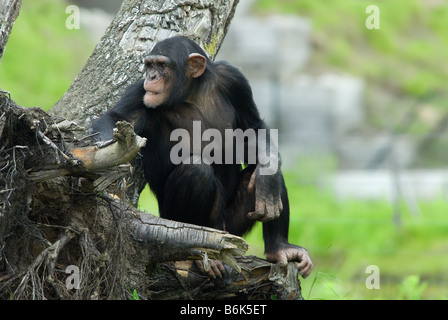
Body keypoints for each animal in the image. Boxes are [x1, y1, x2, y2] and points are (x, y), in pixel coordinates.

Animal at [91, 36, 314, 278]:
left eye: (162, 66)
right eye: (149, 65)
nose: (151, 77)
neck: (192, 92)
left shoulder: (235, 80)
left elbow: (253, 128)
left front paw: (268, 176)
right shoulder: (139, 93)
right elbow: (114, 118)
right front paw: (104, 160)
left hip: (233, 229)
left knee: (267, 174)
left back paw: (280, 247)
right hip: (174, 222)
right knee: (196, 171)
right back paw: (202, 252)